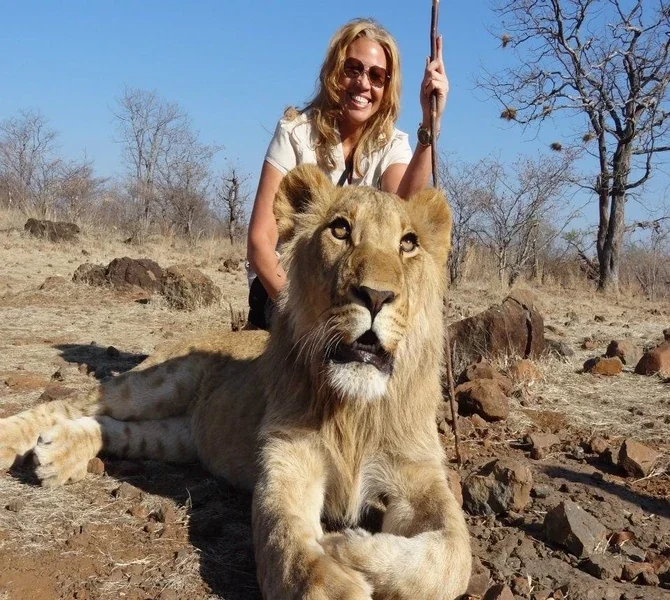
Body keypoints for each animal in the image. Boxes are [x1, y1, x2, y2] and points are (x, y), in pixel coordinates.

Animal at [0, 164, 471, 600]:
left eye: (408, 243)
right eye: (340, 229)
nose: (375, 296)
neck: (355, 408)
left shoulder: (421, 473)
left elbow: (453, 555)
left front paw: (346, 546)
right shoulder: (287, 463)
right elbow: (288, 543)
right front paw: (335, 568)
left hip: (183, 437)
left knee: (119, 429)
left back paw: (59, 454)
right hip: (163, 382)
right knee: (75, 403)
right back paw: (14, 441)